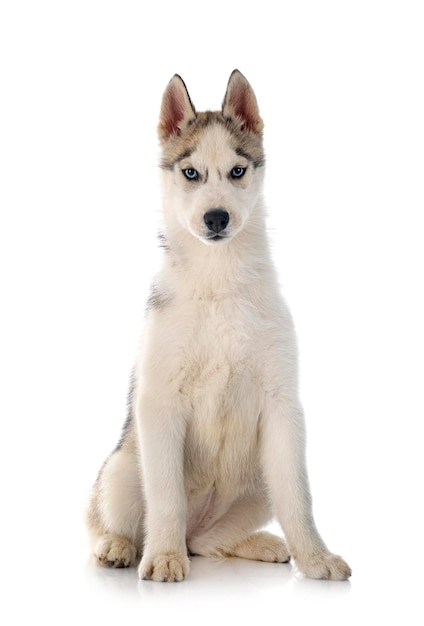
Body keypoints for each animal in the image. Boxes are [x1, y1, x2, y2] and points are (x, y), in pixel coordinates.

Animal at [86, 68, 352, 580]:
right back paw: (122, 547)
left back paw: (258, 543)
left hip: (255, 482)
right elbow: (165, 496)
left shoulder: (284, 410)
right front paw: (163, 557)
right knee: (118, 521)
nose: (216, 218)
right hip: (123, 467)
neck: (219, 279)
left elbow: (299, 498)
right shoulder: (159, 404)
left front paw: (315, 558)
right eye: (191, 173)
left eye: (237, 171)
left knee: (208, 541)